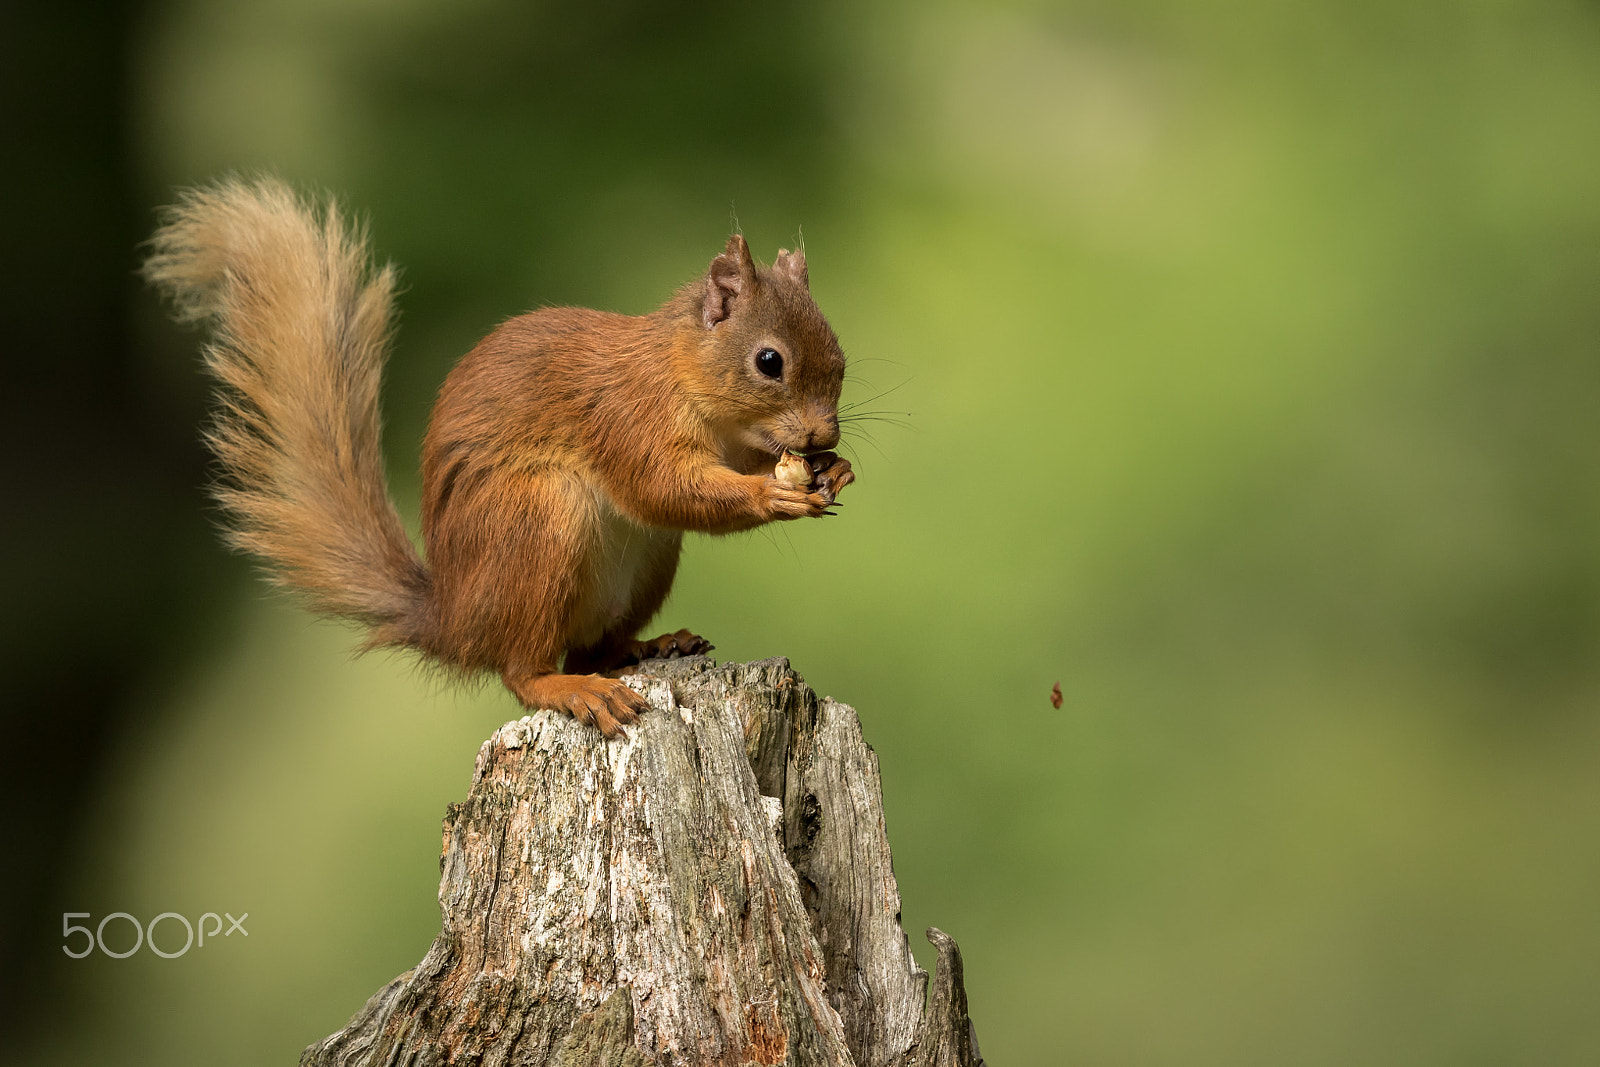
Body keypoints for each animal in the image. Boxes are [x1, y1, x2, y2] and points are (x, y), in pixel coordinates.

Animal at [144, 177, 857, 742]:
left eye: (841, 358)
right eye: (769, 362)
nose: (822, 433)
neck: (688, 380)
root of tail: (454, 621)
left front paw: (835, 469)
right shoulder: (625, 419)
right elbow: (664, 487)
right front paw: (774, 493)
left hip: (646, 562)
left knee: (593, 648)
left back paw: (651, 645)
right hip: (536, 527)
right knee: (525, 670)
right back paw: (571, 689)